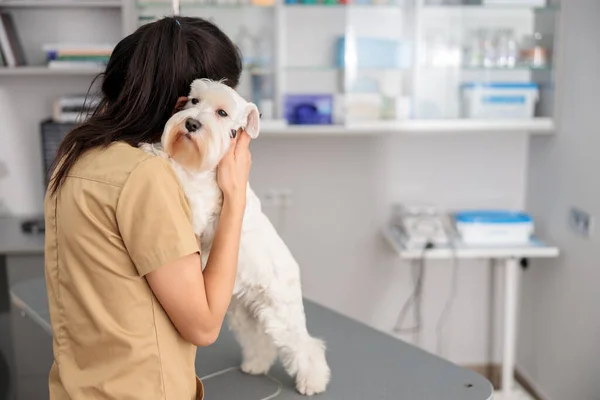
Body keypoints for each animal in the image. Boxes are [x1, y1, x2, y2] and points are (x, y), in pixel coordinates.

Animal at [140, 79, 330, 396]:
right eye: (193, 100)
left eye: (222, 112)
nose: (191, 123)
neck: (205, 168)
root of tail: (294, 268)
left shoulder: (198, 205)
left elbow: (177, 170)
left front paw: (154, 151)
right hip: (245, 314)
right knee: (261, 340)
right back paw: (255, 365)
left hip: (281, 313)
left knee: (305, 346)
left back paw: (312, 381)